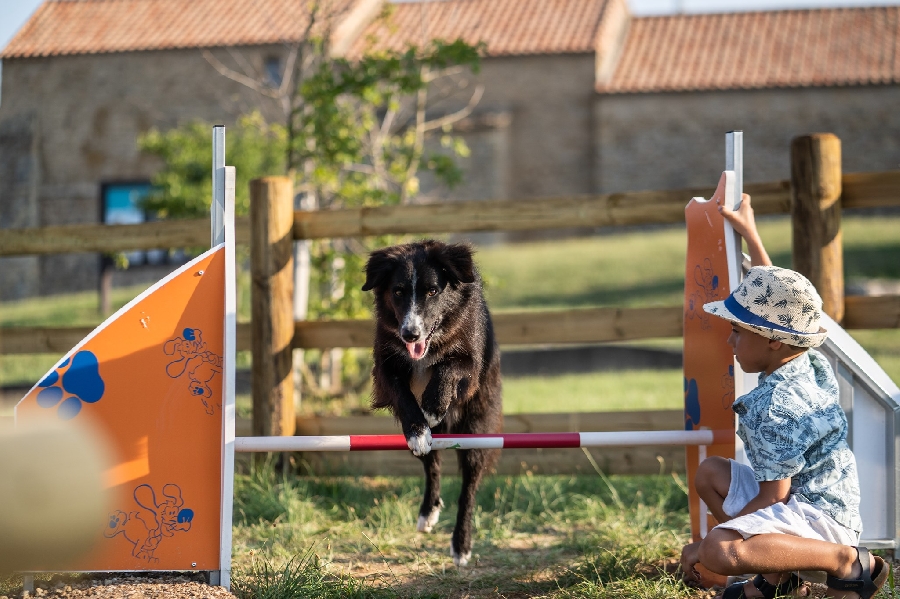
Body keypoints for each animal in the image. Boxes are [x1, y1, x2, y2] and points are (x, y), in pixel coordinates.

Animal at [362, 239, 502, 568]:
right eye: (398, 291)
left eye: (433, 291)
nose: (410, 333)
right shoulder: (387, 365)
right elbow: (404, 397)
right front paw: (418, 427)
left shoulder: (469, 361)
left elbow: (448, 367)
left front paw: (434, 405)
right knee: (432, 462)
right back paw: (428, 512)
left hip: (477, 429)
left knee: (468, 488)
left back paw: (461, 545)